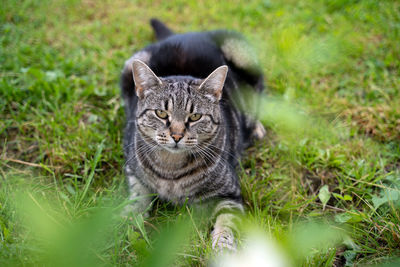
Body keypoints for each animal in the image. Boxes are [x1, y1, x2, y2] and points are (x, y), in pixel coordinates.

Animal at [122, 19, 266, 251]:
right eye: (161, 113)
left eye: (195, 116)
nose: (177, 135)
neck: (170, 169)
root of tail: (185, 34)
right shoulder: (133, 172)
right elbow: (135, 201)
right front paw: (123, 224)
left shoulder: (229, 194)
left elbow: (227, 223)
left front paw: (223, 248)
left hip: (242, 52)